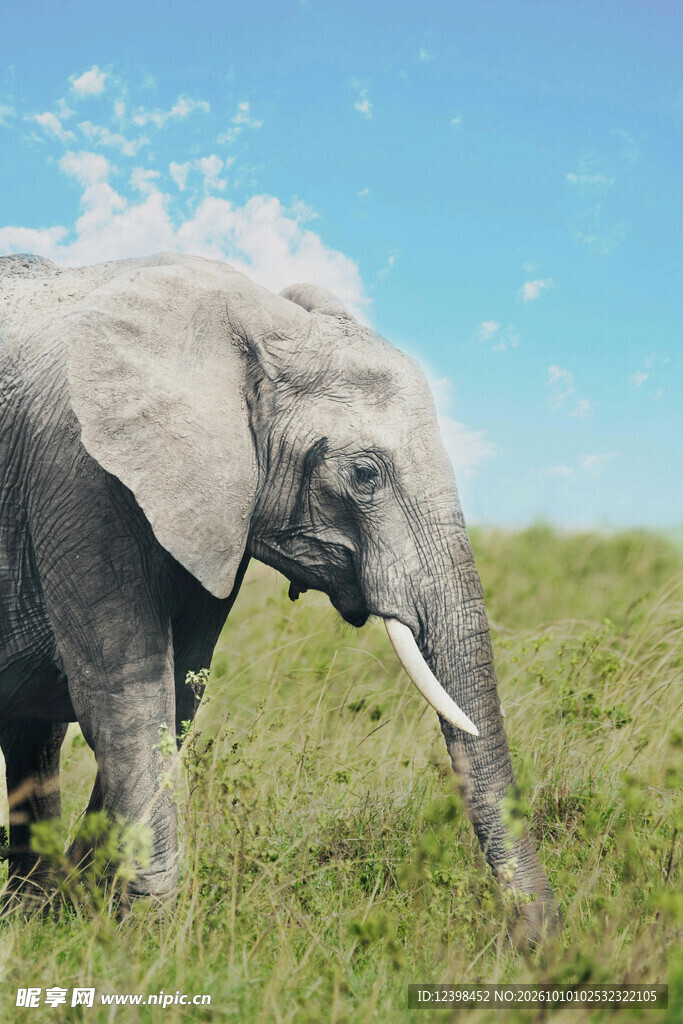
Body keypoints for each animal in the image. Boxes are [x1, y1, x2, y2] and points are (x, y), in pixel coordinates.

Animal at [0, 251, 555, 933]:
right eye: (364, 475)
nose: (535, 941)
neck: (258, 323)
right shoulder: (77, 475)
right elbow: (126, 691)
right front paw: (144, 930)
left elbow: (180, 690)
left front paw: (84, 900)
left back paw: (30, 903)